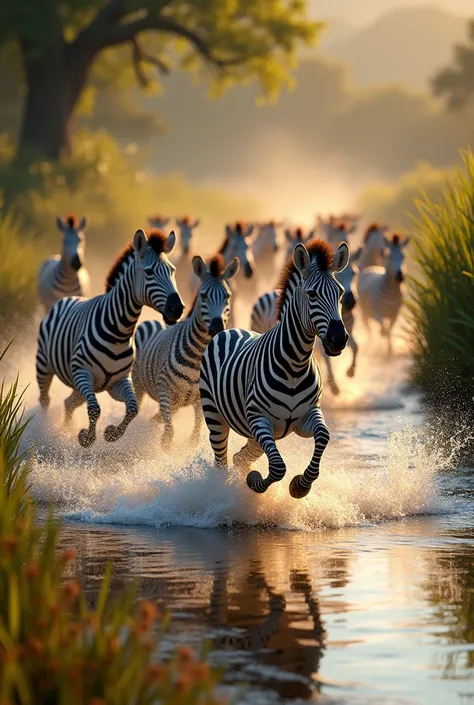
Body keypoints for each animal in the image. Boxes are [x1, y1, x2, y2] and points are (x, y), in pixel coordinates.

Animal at [34, 228, 183, 448]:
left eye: (172, 271)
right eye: (149, 272)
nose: (178, 308)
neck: (119, 332)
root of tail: (67, 298)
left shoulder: (118, 382)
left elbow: (133, 408)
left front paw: (112, 434)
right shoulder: (83, 373)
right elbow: (95, 409)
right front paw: (87, 437)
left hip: (78, 386)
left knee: (68, 403)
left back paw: (65, 428)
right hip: (44, 366)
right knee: (45, 399)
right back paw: (43, 429)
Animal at [131, 254, 239, 446]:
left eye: (227, 296)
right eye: (203, 296)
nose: (217, 327)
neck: (198, 357)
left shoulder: (201, 398)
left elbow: (196, 433)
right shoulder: (164, 389)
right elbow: (169, 433)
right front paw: (164, 447)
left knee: (156, 418)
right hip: (139, 384)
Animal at [198, 239, 350, 498]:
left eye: (339, 293)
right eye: (312, 294)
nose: (338, 339)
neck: (295, 364)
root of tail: (230, 330)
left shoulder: (307, 416)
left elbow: (323, 436)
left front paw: (301, 485)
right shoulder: (260, 419)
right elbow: (278, 467)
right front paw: (255, 481)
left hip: (254, 432)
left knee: (240, 457)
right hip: (215, 416)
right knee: (221, 461)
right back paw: (220, 490)